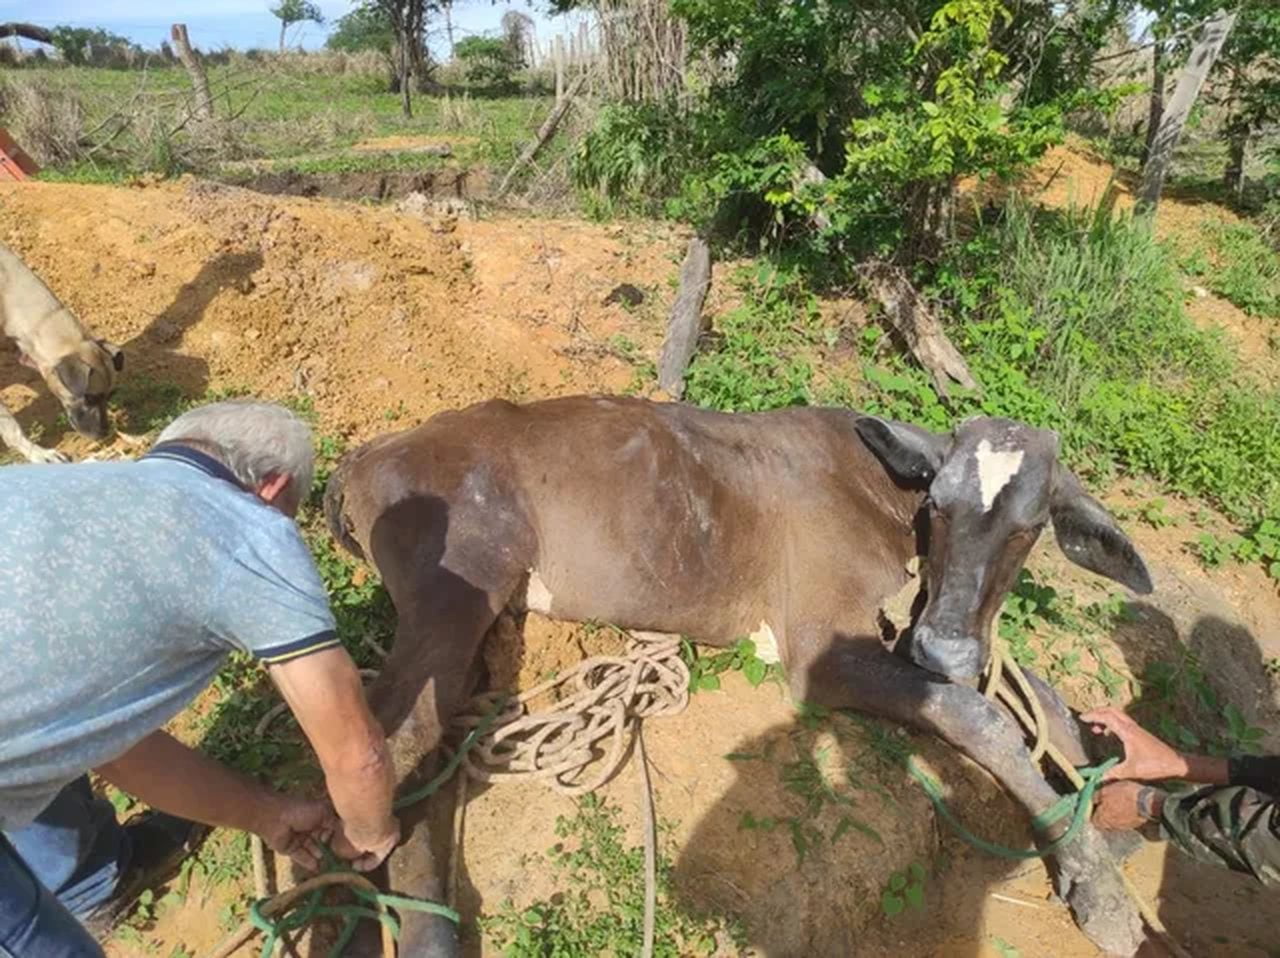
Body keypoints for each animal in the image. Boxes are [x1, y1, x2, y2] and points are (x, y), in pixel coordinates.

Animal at [325, 391, 1157, 952]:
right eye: (940, 506)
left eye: (1029, 528)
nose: (947, 648)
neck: (881, 495)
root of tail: (374, 451)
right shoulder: (822, 650)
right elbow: (978, 713)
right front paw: (1102, 894)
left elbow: (1039, 698)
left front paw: (1109, 798)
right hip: (458, 585)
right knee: (390, 744)